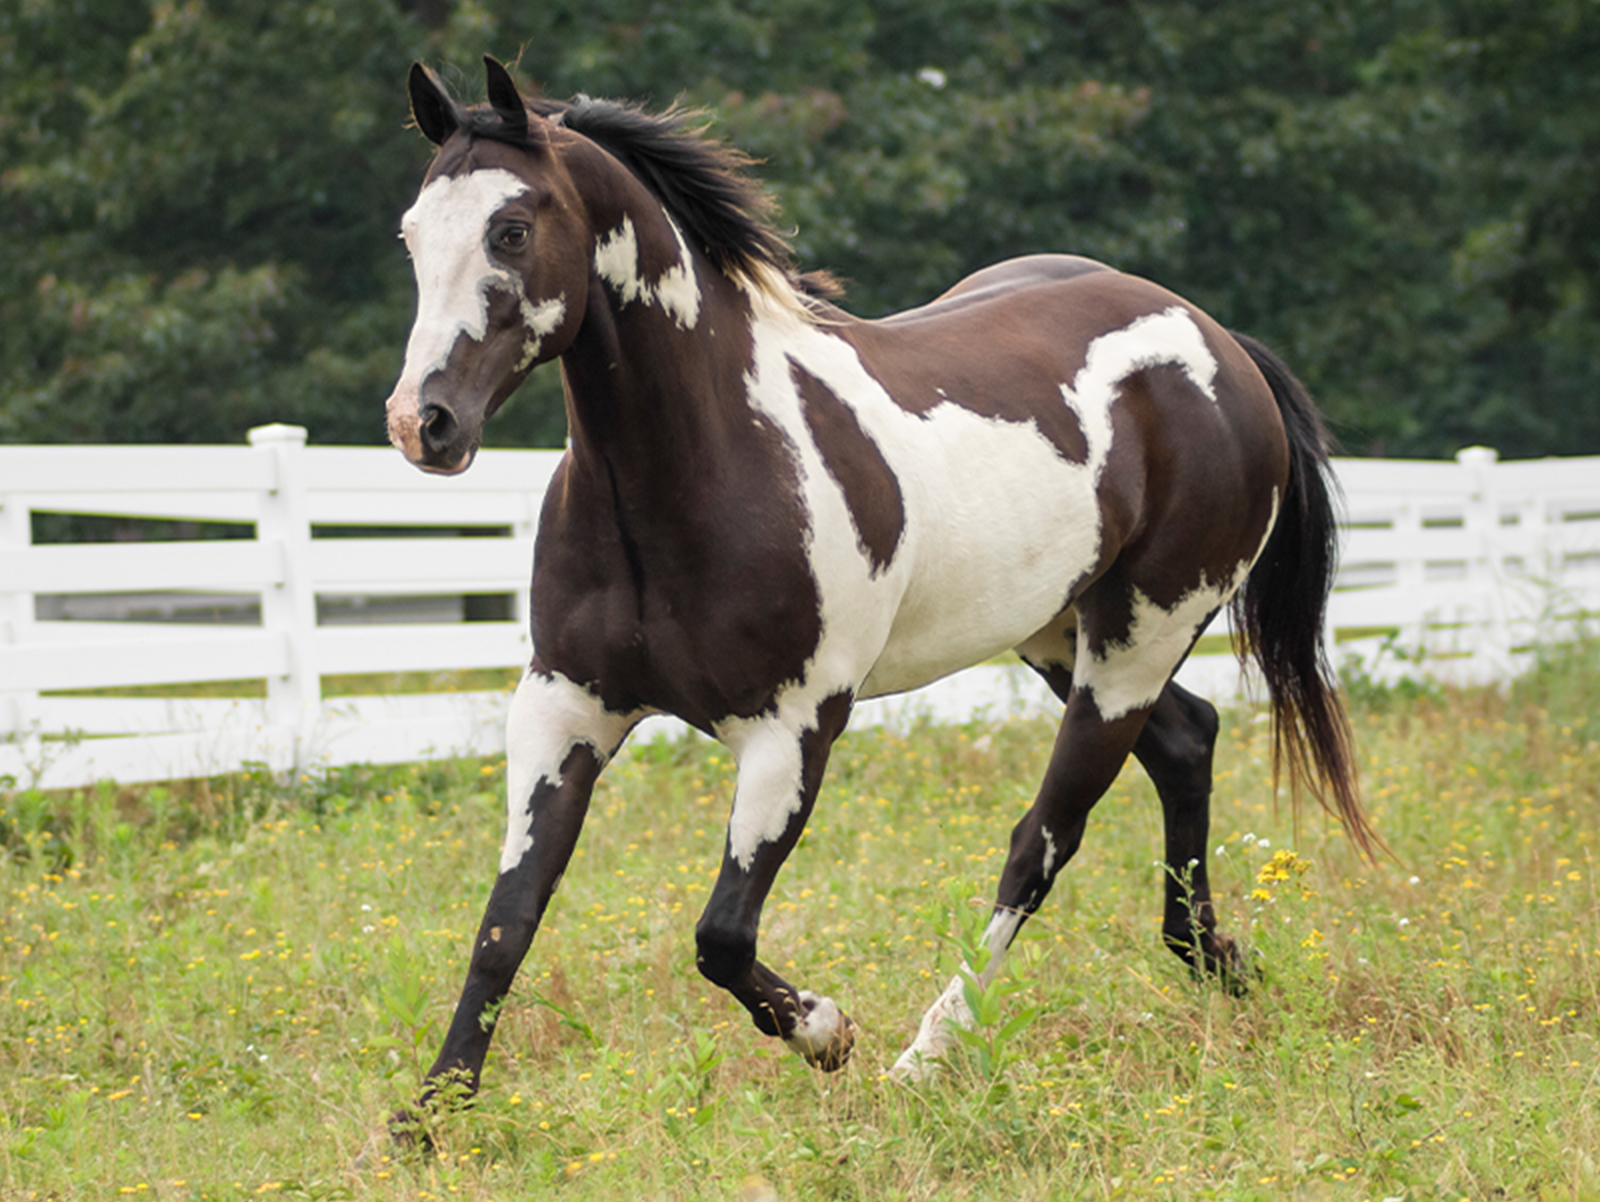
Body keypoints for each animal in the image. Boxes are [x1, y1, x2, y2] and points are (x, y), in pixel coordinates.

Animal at [383, 55, 1373, 1106]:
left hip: (1137, 643)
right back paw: (1220, 963)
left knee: (1043, 839)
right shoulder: (566, 707)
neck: (704, 463)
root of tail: (1217, 343)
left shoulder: (794, 728)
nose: (423, 424)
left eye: (511, 229)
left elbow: (720, 936)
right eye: (412, 234)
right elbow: (507, 921)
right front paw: (433, 1113)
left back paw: (929, 1053)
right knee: (1188, 740)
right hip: (1062, 634)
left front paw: (827, 1033)